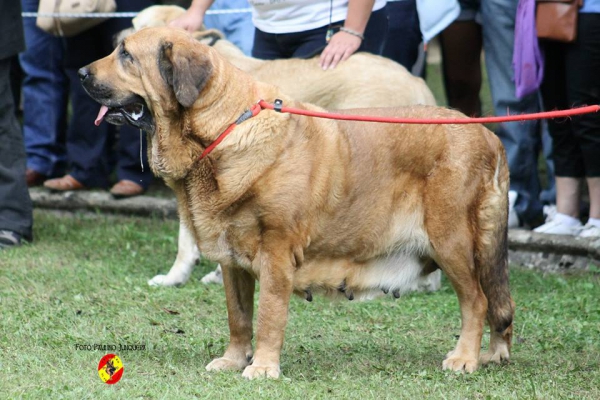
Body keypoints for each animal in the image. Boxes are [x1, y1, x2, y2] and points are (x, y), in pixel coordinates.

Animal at [79, 27, 516, 378]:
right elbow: (239, 316)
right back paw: (494, 354)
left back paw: (464, 358)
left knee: (477, 300)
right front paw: (234, 360)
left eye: (126, 55)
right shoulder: (231, 260)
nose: (81, 73)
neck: (223, 127)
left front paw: (262, 368)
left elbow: (270, 315)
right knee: (499, 302)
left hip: (451, 241)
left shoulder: (276, 252)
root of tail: (488, 134)